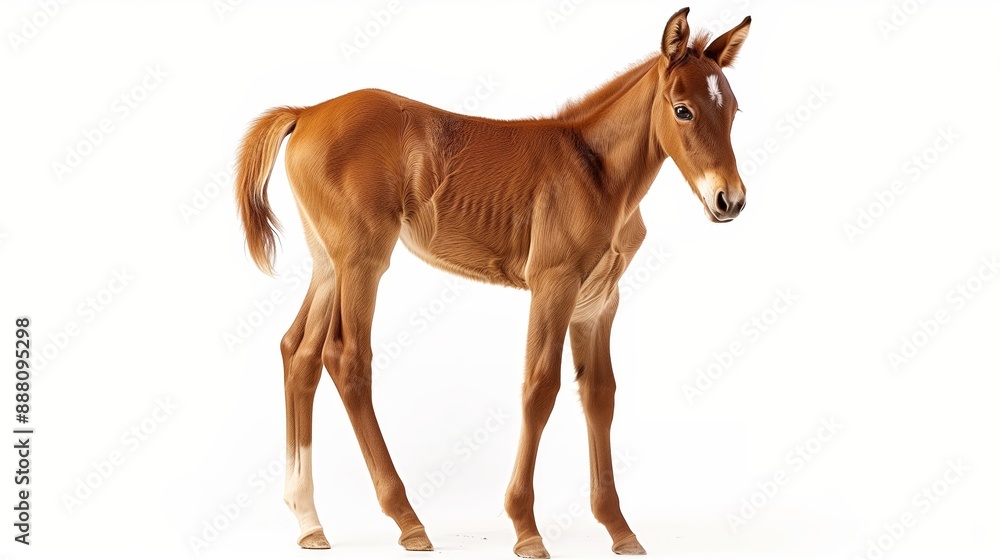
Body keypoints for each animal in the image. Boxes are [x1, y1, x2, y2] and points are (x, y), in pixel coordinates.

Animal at [235, 7, 750, 557]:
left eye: (734, 111)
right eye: (683, 110)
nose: (730, 200)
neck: (598, 173)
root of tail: (307, 111)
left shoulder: (599, 302)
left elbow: (600, 395)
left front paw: (619, 528)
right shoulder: (553, 285)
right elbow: (539, 388)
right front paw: (526, 528)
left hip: (327, 263)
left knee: (299, 351)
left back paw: (308, 521)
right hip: (362, 260)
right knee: (346, 359)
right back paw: (407, 520)